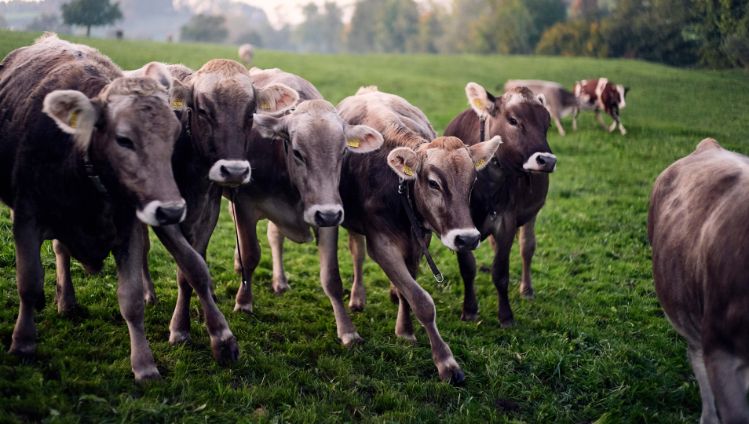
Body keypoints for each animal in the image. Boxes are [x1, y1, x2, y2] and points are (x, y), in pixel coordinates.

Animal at [0, 32, 237, 378]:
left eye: (173, 136)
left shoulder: (133, 225)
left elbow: (138, 295)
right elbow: (29, 283)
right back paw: (64, 301)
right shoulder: (27, 217)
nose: (170, 210)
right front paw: (23, 343)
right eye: (124, 139)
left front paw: (147, 364)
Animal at [225, 69, 382, 348]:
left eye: (343, 152)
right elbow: (251, 255)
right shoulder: (244, 205)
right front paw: (243, 302)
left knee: (275, 237)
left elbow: (331, 278)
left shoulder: (328, 216)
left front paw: (347, 331)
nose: (327, 213)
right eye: (298, 152)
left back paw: (280, 281)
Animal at [330, 85, 500, 380]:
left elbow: (408, 288)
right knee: (357, 253)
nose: (467, 238)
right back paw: (357, 297)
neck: (398, 188)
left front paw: (405, 329)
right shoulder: (382, 243)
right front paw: (446, 362)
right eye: (433, 183)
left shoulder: (419, 240)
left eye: (472, 182)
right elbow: (421, 300)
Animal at [444, 83, 556, 328]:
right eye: (513, 120)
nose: (547, 160)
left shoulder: (507, 222)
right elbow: (467, 268)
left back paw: (527, 289)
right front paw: (469, 310)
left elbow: (500, 272)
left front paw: (506, 316)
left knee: (526, 248)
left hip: (530, 215)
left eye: (547, 123)